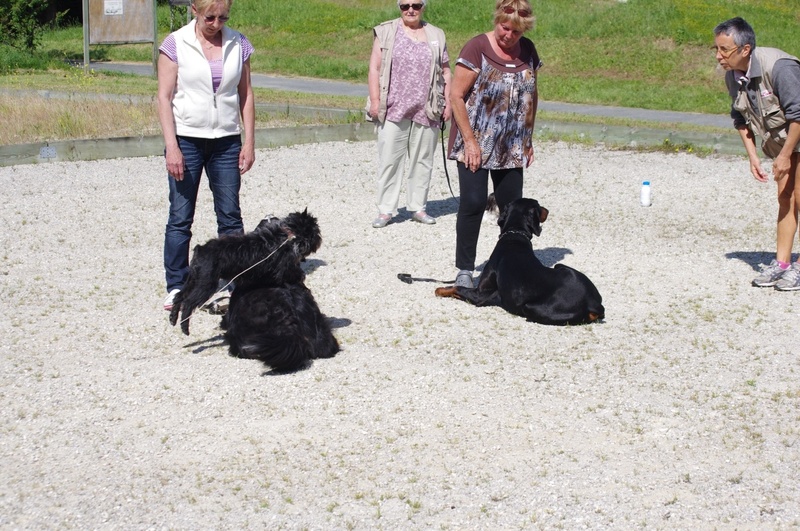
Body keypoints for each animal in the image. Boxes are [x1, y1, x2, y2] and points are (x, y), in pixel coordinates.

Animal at [169, 210, 322, 334]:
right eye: (315, 230)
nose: (319, 239)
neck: (287, 236)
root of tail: (200, 249)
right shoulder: (287, 273)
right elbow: (298, 281)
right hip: (206, 285)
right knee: (188, 303)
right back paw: (184, 327)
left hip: (192, 281)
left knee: (178, 297)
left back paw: (173, 318)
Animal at [434, 197, 604, 326]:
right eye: (538, 205)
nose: (547, 210)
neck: (515, 234)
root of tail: (593, 303)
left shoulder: (480, 294)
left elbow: (457, 288)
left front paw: (440, 290)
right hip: (561, 266)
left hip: (531, 307)